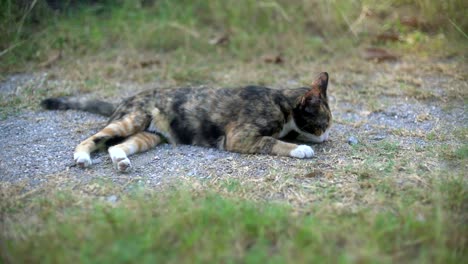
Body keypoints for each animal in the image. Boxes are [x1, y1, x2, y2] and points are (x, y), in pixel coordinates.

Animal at [41, 72, 332, 172]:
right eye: (324, 123)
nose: (328, 136)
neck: (281, 101)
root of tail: (125, 100)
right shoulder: (240, 137)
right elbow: (273, 142)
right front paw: (301, 148)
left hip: (148, 136)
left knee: (115, 146)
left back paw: (122, 162)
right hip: (132, 119)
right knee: (92, 139)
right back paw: (82, 158)